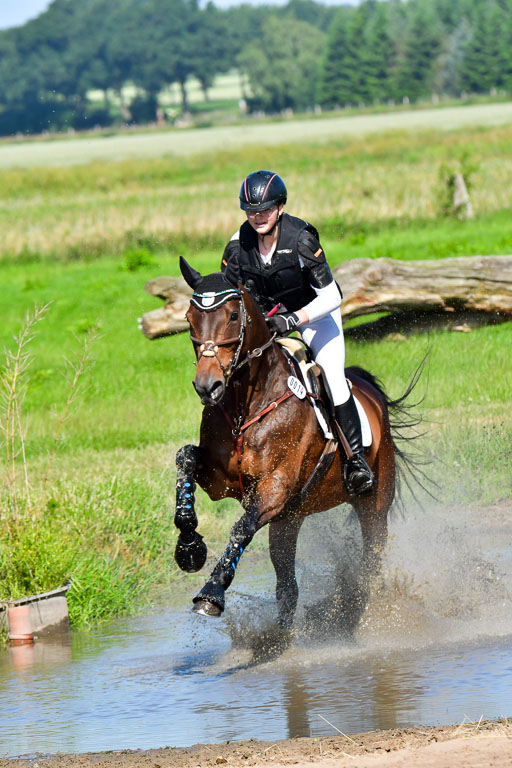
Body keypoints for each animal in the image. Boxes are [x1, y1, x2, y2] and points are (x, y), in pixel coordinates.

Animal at [173, 257, 423, 634]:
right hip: (289, 520)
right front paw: (188, 547)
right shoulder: (222, 482)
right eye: (190, 318)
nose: (207, 386)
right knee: (287, 585)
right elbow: (186, 458)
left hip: (374, 503)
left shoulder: (275, 487)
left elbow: (241, 528)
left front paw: (211, 593)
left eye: (232, 316)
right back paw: (284, 634)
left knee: (371, 561)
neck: (247, 405)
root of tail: (371, 393)